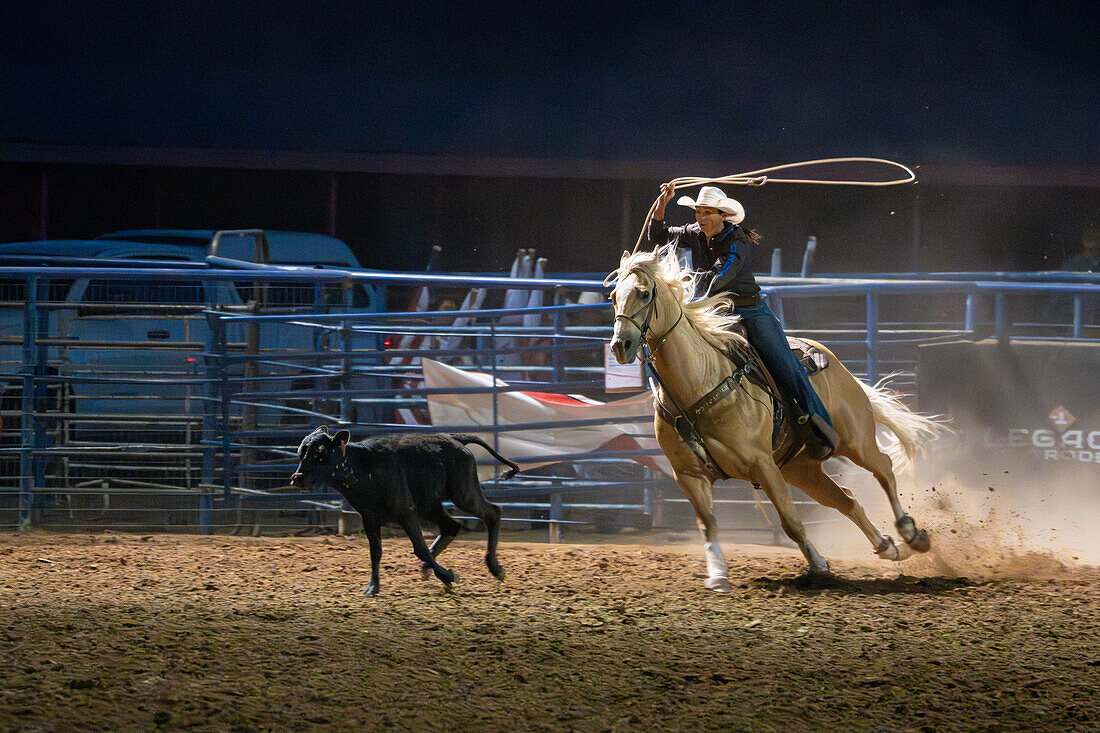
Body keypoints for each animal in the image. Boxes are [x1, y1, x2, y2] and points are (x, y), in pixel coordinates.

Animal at [290, 424, 517, 589]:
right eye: (300, 451)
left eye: (320, 450)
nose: (297, 477)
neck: (363, 468)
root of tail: (454, 438)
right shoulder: (369, 517)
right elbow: (376, 551)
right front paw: (373, 587)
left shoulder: (406, 513)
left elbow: (420, 548)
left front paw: (448, 576)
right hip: (430, 504)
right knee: (451, 526)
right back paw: (427, 569)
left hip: (462, 492)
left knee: (492, 513)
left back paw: (495, 568)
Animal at [607, 245, 941, 589]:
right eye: (613, 296)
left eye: (645, 293)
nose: (621, 346)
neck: (700, 382)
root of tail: (835, 363)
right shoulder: (688, 475)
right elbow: (708, 525)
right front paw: (717, 574)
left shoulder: (762, 464)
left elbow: (791, 522)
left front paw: (818, 563)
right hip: (801, 468)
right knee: (846, 500)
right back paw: (888, 546)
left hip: (855, 440)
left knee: (883, 469)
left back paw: (911, 533)